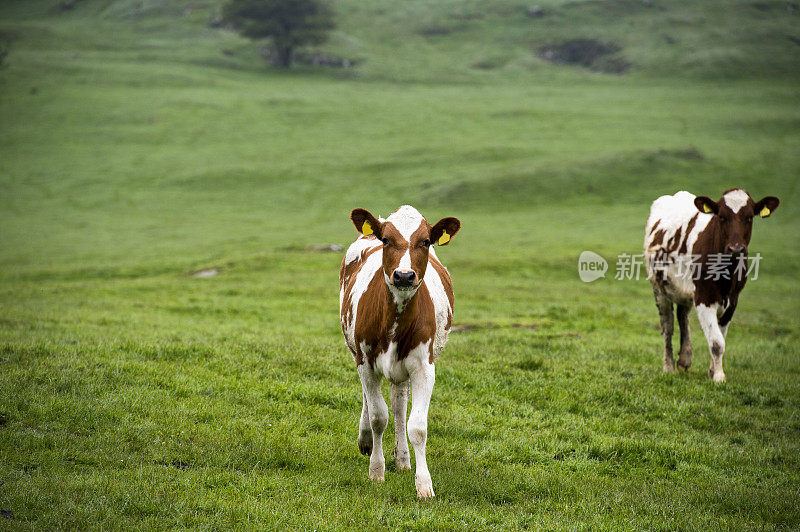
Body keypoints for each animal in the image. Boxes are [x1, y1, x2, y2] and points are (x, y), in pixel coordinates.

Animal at [340, 205, 462, 498]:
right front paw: (376, 471)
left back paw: (403, 458)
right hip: (356, 352)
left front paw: (424, 484)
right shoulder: (366, 362)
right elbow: (378, 416)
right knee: (372, 401)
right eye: (386, 240)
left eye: (425, 241)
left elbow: (417, 426)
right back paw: (366, 440)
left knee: (398, 404)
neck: (395, 319)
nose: (404, 275)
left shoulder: (424, 368)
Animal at [644, 189, 780, 380]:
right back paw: (668, 366)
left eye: (749, 217)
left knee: (682, 317)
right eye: (721, 216)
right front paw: (718, 376)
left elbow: (720, 338)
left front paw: (712, 371)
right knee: (668, 327)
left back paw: (684, 359)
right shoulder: (704, 297)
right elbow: (716, 342)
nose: (736, 248)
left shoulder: (733, 300)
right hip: (659, 287)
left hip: (684, 289)